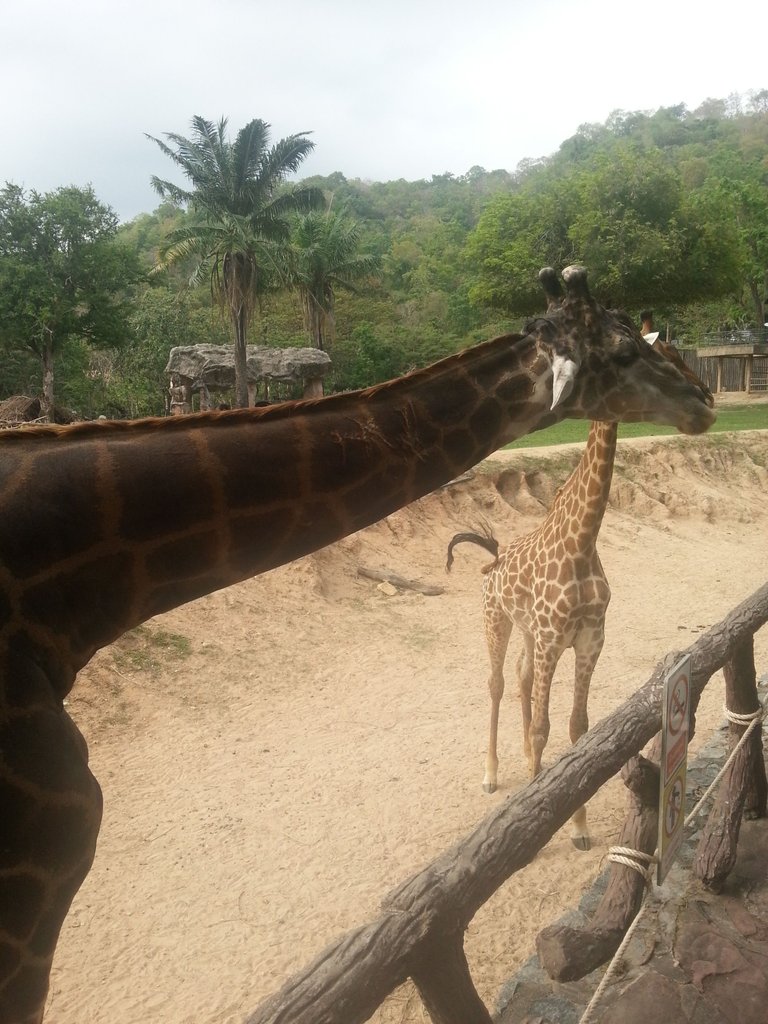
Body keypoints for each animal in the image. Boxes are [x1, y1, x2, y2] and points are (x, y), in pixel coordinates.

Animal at [448, 419, 618, 851]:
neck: (581, 542)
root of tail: (493, 559)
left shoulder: (591, 640)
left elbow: (578, 727)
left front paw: (579, 828)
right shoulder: (553, 637)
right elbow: (544, 729)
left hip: (528, 632)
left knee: (522, 675)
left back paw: (527, 761)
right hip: (496, 620)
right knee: (497, 682)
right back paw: (491, 775)